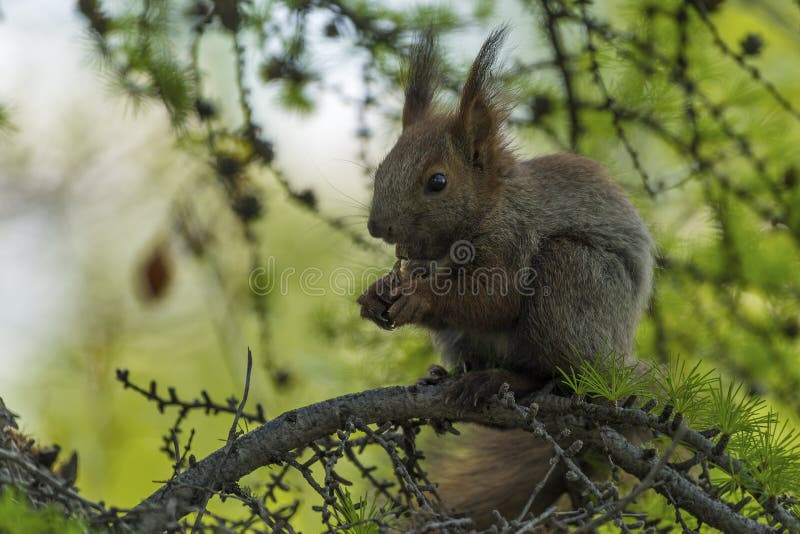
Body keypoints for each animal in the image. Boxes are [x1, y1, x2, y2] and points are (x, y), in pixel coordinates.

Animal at [356, 27, 656, 528]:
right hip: (464, 340)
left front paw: (421, 299)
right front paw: (376, 294)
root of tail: (611, 370)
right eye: (380, 169)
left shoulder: (514, 237)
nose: (378, 227)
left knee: (551, 373)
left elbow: (495, 300)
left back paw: (502, 382)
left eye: (437, 181)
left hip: (572, 283)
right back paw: (450, 379)